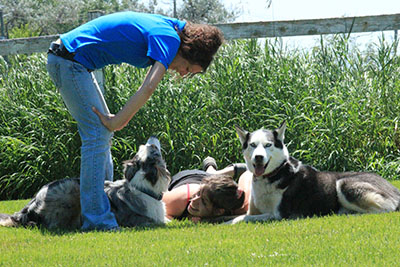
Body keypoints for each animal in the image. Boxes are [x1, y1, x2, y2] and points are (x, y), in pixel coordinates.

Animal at [0, 137, 170, 231]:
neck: (144, 187)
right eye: (154, 148)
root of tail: (30, 206)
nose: (153, 137)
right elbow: (157, 222)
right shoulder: (138, 220)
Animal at [228, 122, 400, 225]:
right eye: (252, 145)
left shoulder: (279, 215)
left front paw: (229, 222)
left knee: (385, 210)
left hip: (344, 184)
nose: (258, 157)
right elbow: (241, 214)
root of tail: (393, 188)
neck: (274, 174)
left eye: (268, 145)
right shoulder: (254, 209)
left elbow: (244, 217)